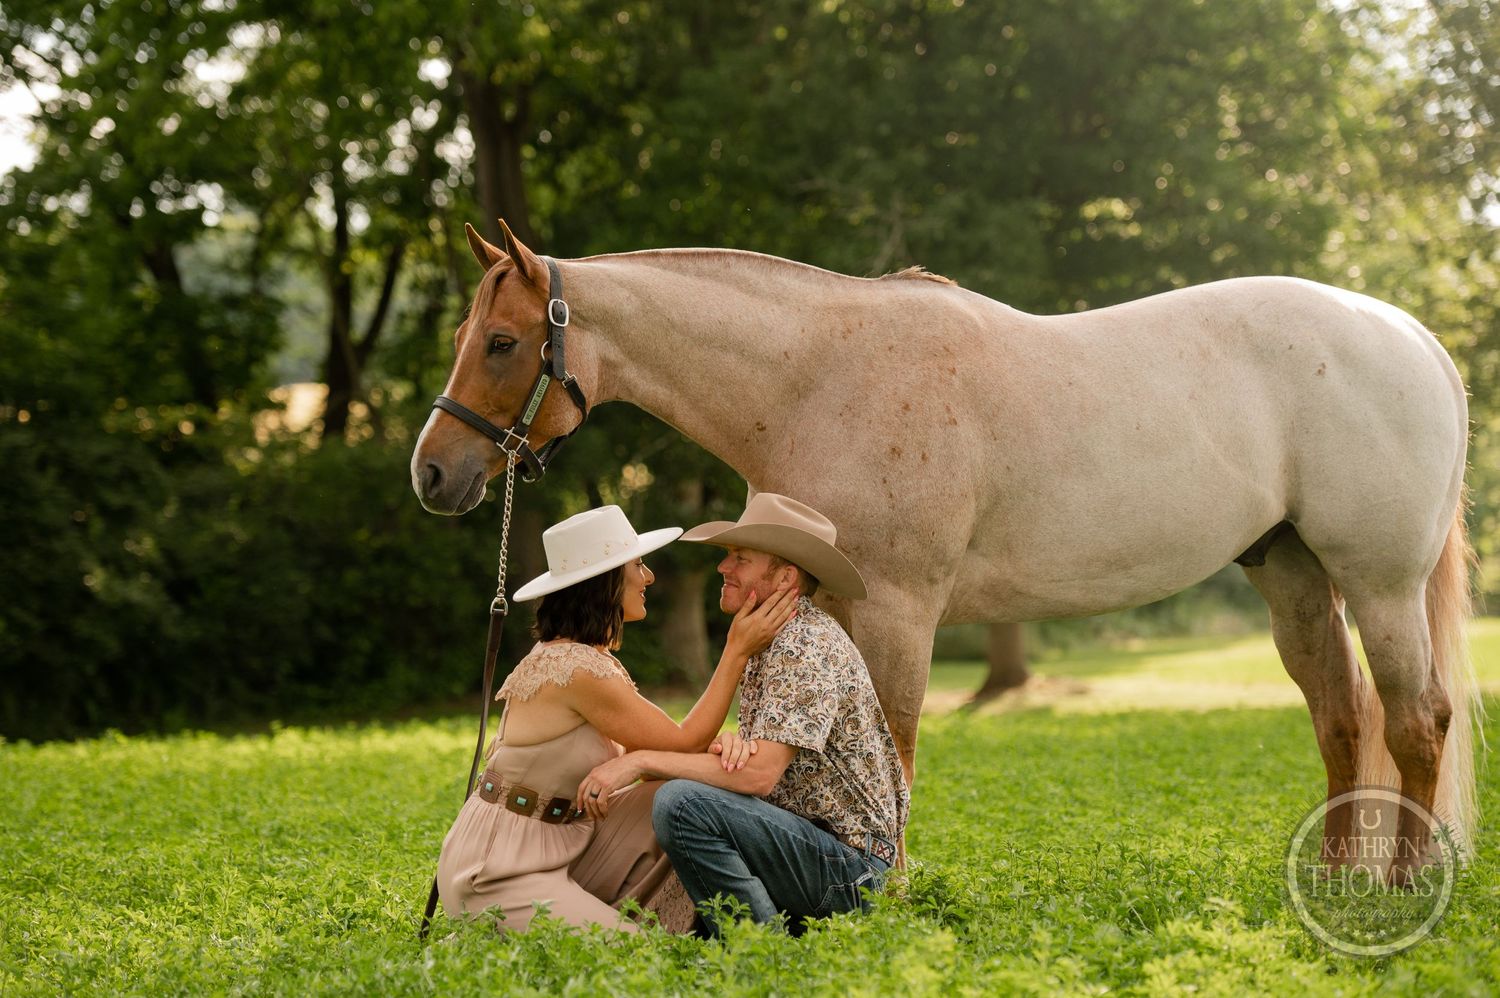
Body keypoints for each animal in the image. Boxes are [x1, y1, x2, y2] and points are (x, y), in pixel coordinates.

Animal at [412, 220, 1479, 882]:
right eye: (469, 332)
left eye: (502, 341)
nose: (432, 473)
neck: (816, 379)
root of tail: (1412, 336)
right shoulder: (828, 606)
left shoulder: (898, 609)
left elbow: (899, 746)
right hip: (1293, 575)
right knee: (1342, 719)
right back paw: (1335, 878)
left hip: (1379, 584)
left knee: (1416, 722)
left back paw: (1396, 886)